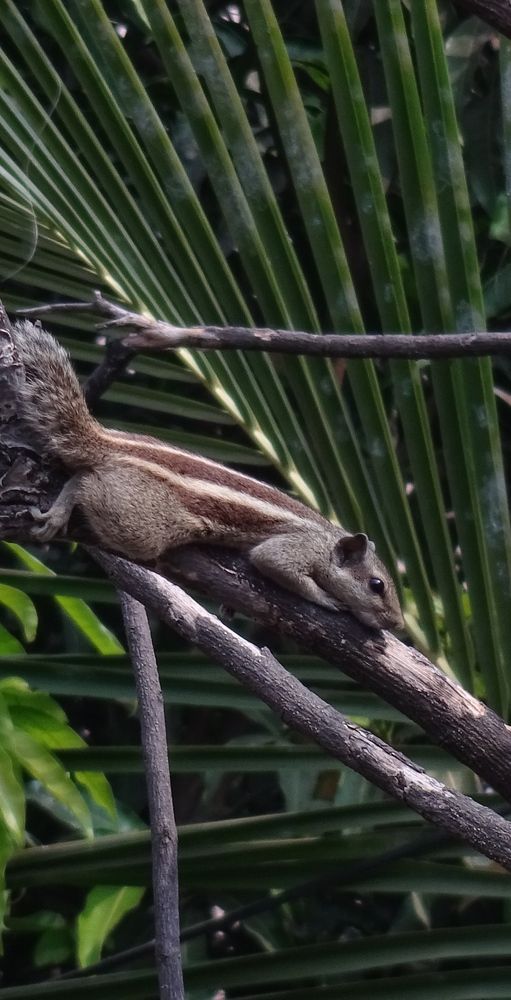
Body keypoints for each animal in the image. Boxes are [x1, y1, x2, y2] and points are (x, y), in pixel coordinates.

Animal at [11, 320, 403, 630]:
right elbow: (274, 563)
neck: (326, 537)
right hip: (141, 522)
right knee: (86, 484)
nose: (397, 623)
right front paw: (325, 598)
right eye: (377, 585)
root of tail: (109, 441)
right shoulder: (298, 546)